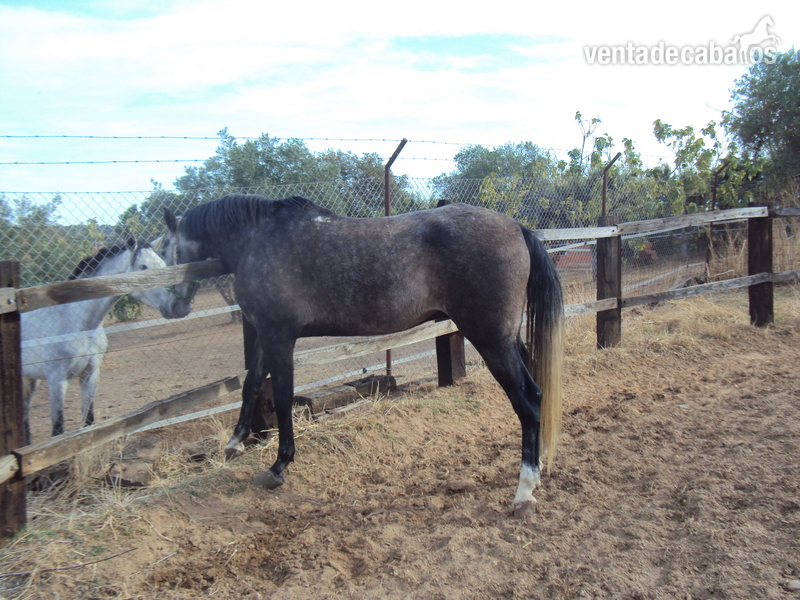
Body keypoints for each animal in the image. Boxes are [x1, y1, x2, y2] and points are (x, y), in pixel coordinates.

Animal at [21, 237, 193, 445]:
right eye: (143, 267)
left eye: (162, 263)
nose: (179, 306)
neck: (74, 322)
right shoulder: (57, 381)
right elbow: (58, 432)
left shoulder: (90, 375)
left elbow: (88, 424)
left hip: (30, 380)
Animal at [162, 194, 563, 517]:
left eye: (164, 247)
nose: (172, 306)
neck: (260, 238)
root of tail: (517, 227)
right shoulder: (265, 334)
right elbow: (251, 384)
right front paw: (234, 444)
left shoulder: (279, 336)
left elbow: (281, 397)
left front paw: (278, 466)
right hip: (508, 338)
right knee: (536, 395)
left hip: (491, 339)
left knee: (527, 402)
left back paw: (524, 492)